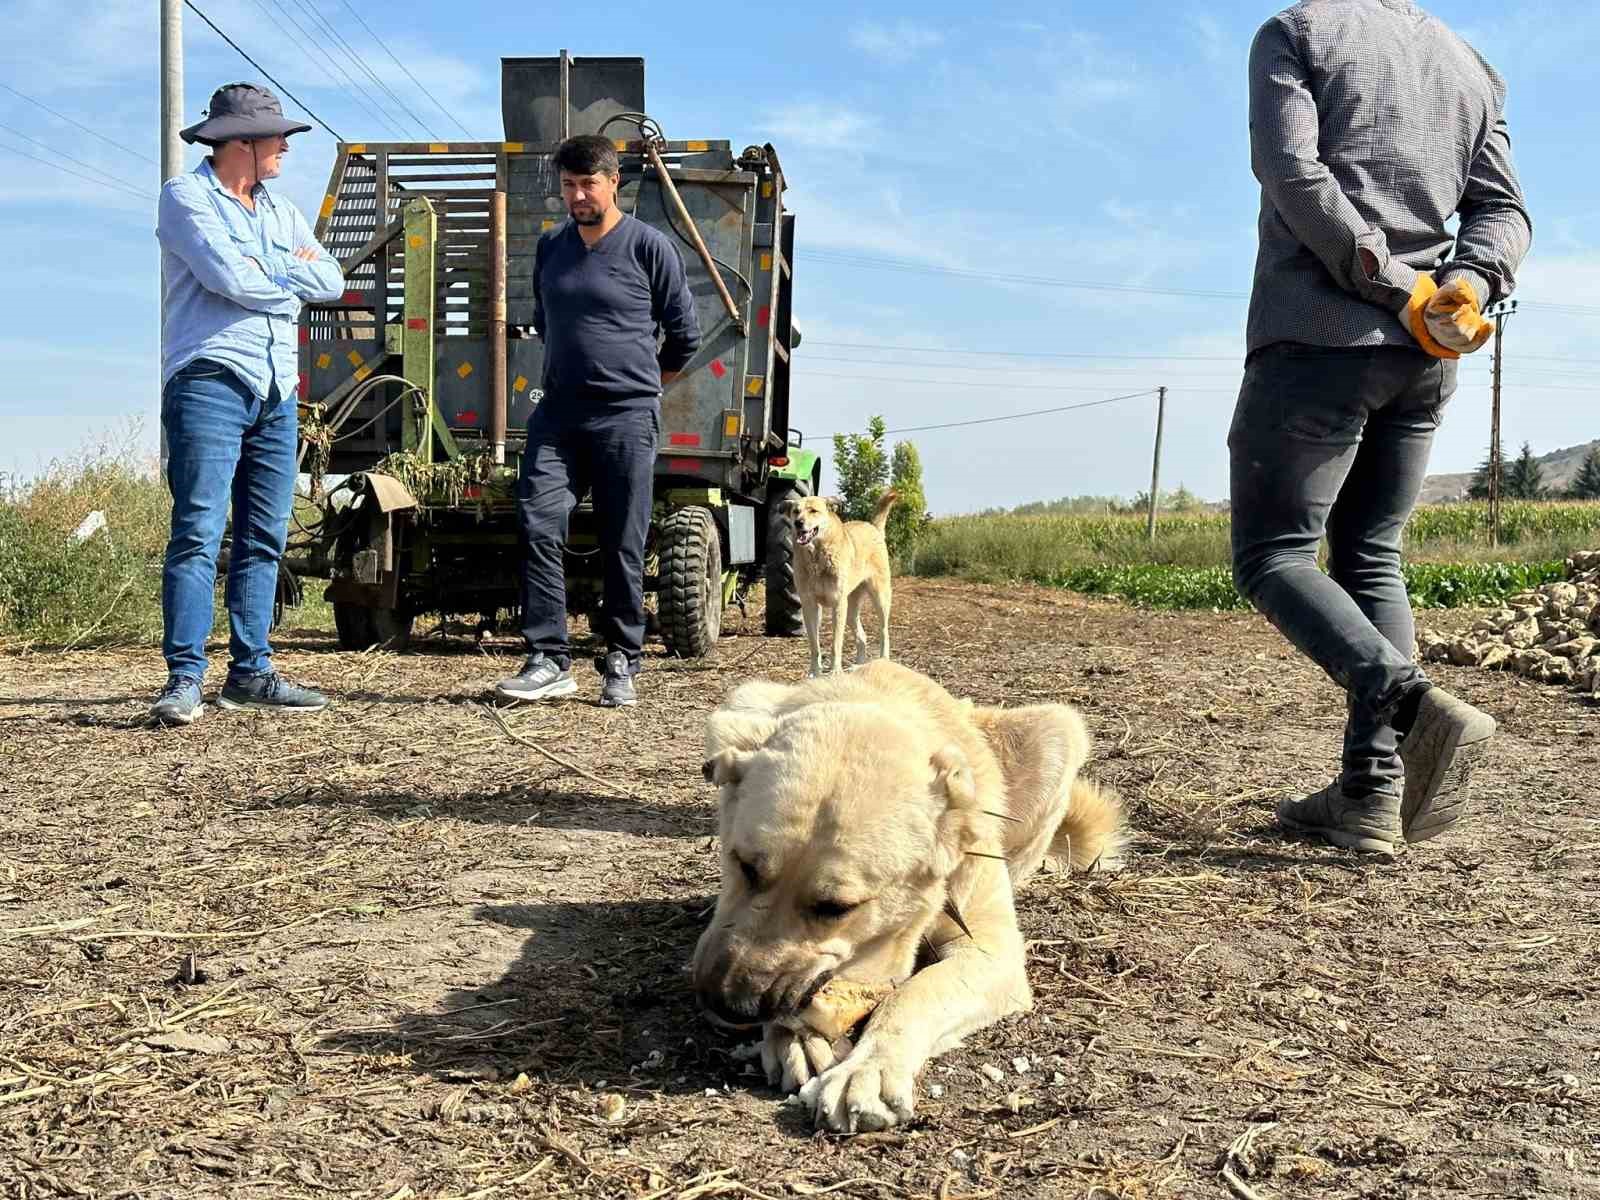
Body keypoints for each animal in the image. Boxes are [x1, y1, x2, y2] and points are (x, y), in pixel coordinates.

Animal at [688, 662, 1126, 1132]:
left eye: (837, 908)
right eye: (744, 865)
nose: (727, 1003)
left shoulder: (992, 953)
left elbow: (914, 993)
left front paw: (868, 1067)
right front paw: (796, 1036)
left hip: (1059, 731)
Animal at [787, 489, 902, 678]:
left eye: (813, 511)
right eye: (796, 511)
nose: (798, 523)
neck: (817, 557)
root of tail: (873, 527)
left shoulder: (837, 605)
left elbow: (836, 644)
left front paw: (835, 671)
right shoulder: (809, 605)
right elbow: (814, 645)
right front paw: (814, 672)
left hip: (880, 599)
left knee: (884, 631)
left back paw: (883, 661)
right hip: (851, 610)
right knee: (862, 637)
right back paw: (859, 666)